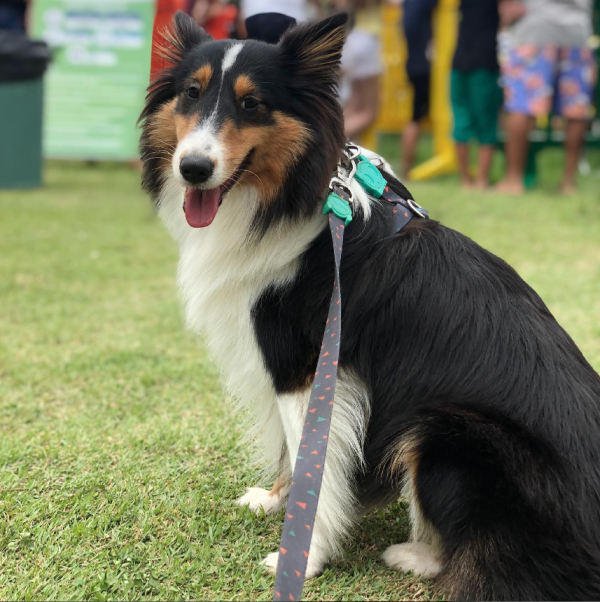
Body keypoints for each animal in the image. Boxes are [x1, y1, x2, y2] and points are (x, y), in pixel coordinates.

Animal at [138, 11, 600, 596]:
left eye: (252, 103)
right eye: (191, 93)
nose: (193, 168)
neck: (294, 198)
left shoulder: (309, 367)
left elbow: (312, 457)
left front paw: (302, 555)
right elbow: (299, 456)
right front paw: (275, 500)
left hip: (446, 431)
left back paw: (412, 554)